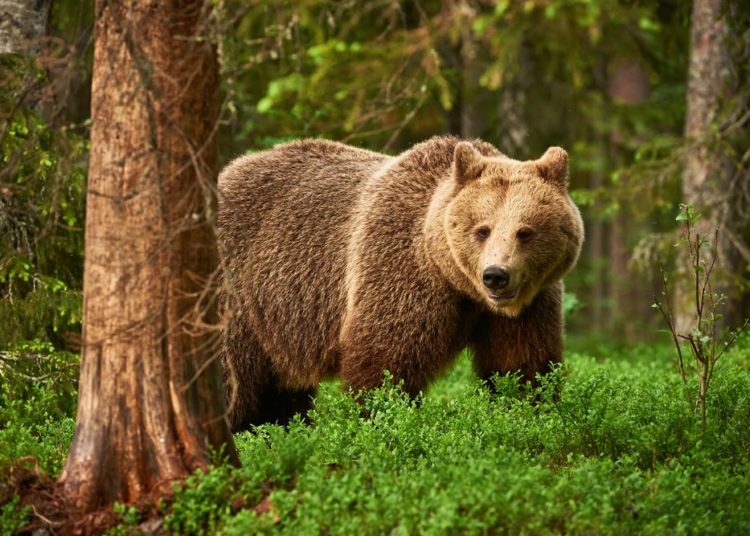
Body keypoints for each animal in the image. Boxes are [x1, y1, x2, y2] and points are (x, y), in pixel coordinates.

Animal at [217, 136, 584, 431]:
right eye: (482, 229)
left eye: (525, 232)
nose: (496, 275)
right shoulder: (399, 269)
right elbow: (386, 363)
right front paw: (383, 420)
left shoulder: (529, 305)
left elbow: (521, 364)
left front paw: (528, 412)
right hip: (238, 293)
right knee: (234, 380)